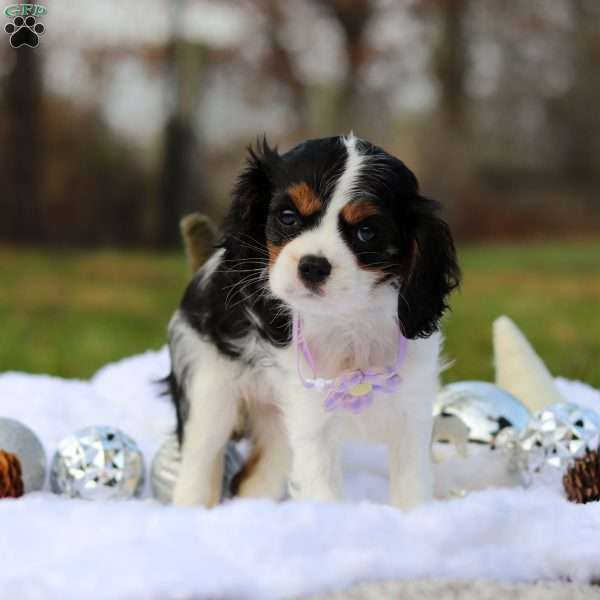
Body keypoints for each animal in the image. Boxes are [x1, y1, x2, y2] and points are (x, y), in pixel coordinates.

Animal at [169, 135, 460, 506]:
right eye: (288, 217)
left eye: (366, 232)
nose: (313, 265)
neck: (349, 318)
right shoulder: (312, 416)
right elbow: (322, 490)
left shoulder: (412, 407)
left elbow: (413, 486)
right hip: (209, 389)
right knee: (199, 463)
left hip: (275, 426)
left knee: (255, 479)